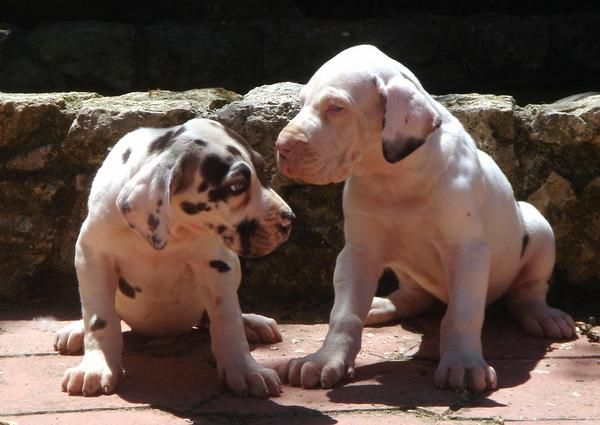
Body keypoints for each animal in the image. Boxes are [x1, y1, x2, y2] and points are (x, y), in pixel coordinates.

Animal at [55, 117, 294, 398]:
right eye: (236, 186)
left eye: (263, 170)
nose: (289, 220)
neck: (173, 230)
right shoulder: (93, 255)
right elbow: (99, 318)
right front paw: (96, 366)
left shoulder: (217, 264)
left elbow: (228, 318)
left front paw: (245, 370)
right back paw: (75, 330)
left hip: (234, 266)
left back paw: (252, 323)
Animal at [274, 45, 576, 390]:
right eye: (301, 103)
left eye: (336, 108)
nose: (281, 147)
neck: (394, 177)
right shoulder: (358, 253)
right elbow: (345, 314)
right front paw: (325, 360)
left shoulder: (467, 252)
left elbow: (462, 314)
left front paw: (463, 365)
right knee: (412, 296)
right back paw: (383, 304)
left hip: (538, 230)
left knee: (527, 292)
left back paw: (543, 315)